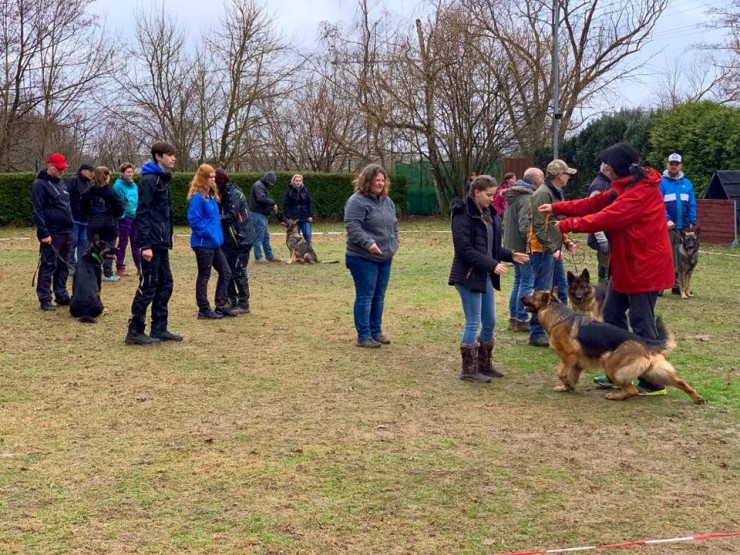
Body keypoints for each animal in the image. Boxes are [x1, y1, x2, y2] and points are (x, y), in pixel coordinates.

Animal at [520, 292, 704, 404]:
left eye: (533, 295)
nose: (521, 297)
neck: (557, 315)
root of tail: (644, 341)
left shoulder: (569, 356)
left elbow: (560, 373)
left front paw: (567, 385)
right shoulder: (577, 365)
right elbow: (570, 377)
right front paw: (567, 388)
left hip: (612, 367)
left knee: (632, 390)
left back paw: (615, 396)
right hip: (654, 372)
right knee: (680, 382)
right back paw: (697, 397)